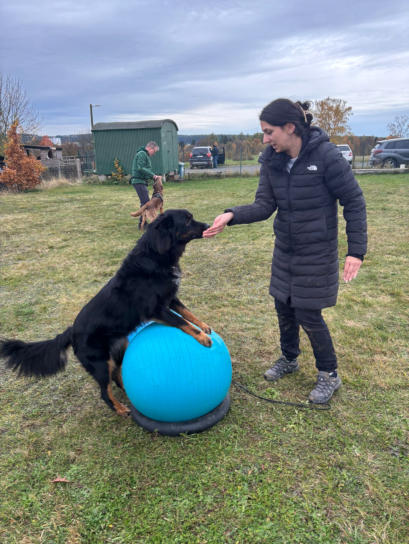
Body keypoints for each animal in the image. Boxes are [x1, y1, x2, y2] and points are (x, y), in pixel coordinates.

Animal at [0, 209, 211, 416]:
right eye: (187, 220)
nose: (208, 225)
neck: (154, 256)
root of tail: (71, 331)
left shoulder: (171, 299)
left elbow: (188, 314)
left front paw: (204, 327)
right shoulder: (157, 309)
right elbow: (181, 321)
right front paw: (202, 337)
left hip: (119, 348)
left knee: (117, 376)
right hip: (100, 363)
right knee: (104, 391)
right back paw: (120, 409)